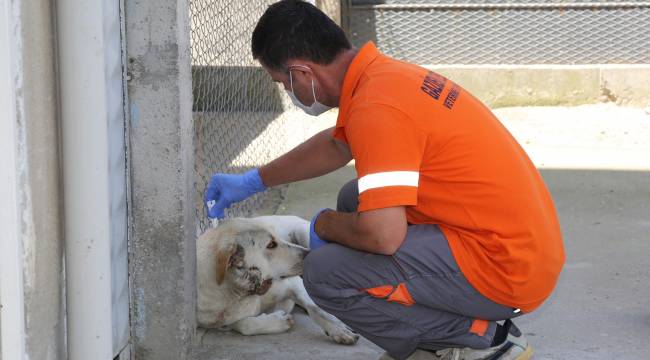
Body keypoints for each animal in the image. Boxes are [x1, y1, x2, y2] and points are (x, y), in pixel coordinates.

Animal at [196, 215, 360, 344]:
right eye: (271, 245)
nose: (310, 253)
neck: (239, 293)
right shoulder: (216, 322)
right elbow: (244, 325)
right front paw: (279, 321)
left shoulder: (294, 283)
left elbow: (316, 308)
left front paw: (337, 327)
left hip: (304, 233)